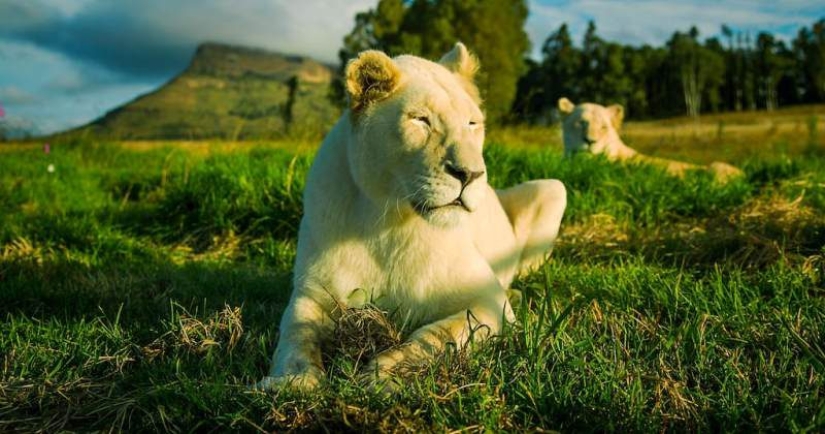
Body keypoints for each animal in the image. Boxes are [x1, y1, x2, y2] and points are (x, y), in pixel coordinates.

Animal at [255, 44, 567, 391]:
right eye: (421, 120)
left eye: (472, 124)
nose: (471, 174)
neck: (386, 224)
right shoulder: (312, 290)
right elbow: (295, 332)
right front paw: (293, 381)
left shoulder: (486, 298)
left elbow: (439, 335)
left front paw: (382, 375)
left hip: (554, 188)